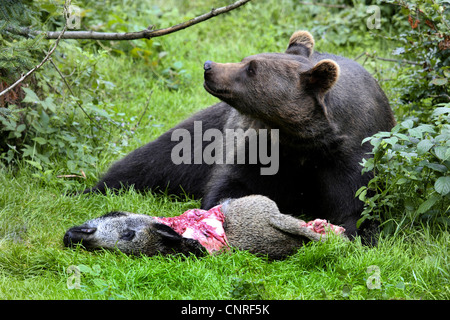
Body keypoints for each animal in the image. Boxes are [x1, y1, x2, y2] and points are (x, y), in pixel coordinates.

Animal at [82, 31, 396, 244]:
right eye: (247, 60)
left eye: (251, 69)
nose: (209, 66)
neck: (305, 139)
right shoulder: (264, 147)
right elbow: (233, 184)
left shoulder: (351, 155)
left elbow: (356, 206)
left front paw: (354, 234)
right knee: (148, 162)